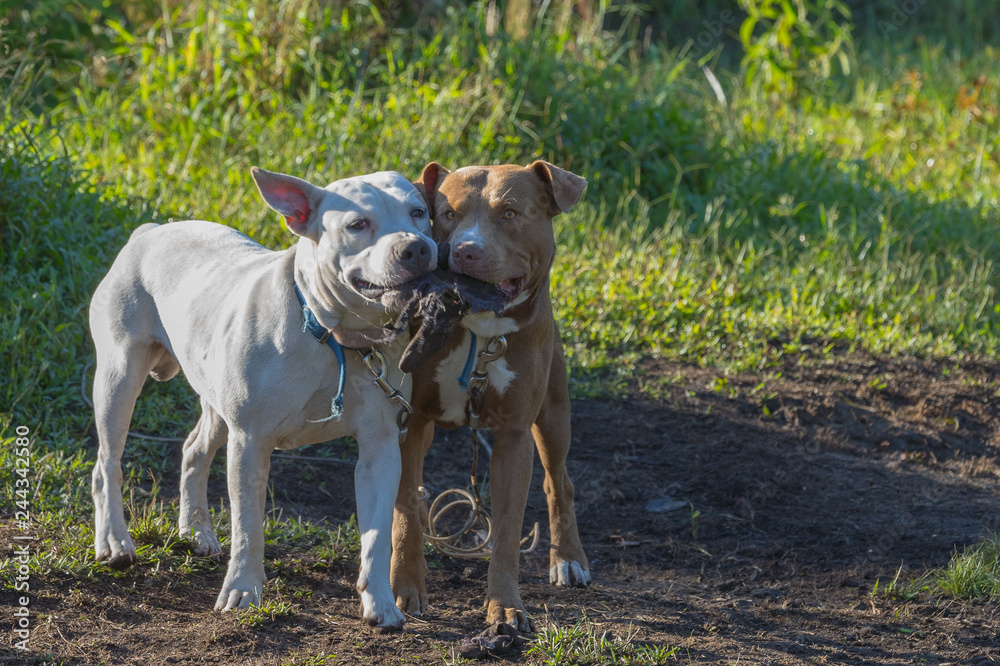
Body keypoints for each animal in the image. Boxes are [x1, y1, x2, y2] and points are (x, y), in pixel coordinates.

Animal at [86, 167, 430, 628]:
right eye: (358, 224)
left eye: (419, 213)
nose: (417, 247)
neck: (334, 335)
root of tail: (151, 231)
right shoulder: (249, 441)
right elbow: (248, 527)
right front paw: (242, 590)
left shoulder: (381, 448)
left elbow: (376, 537)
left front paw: (380, 603)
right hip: (119, 377)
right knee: (108, 462)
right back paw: (114, 542)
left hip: (214, 400)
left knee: (194, 450)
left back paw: (195, 531)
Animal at [388, 160, 592, 628]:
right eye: (448, 213)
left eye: (510, 213)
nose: (465, 250)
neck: (480, 332)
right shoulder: (413, 420)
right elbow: (404, 507)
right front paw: (405, 586)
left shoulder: (515, 437)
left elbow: (506, 530)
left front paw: (506, 607)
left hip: (553, 417)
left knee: (560, 482)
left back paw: (568, 559)